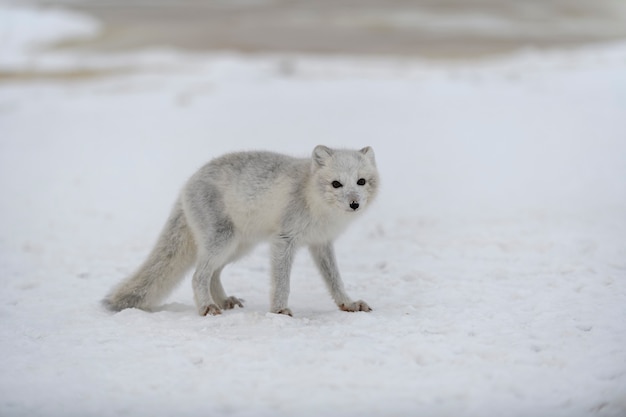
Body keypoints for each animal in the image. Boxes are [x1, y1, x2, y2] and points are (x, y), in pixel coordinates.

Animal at [103, 145, 378, 316]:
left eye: (361, 182)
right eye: (336, 184)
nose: (354, 204)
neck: (314, 200)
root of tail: (187, 184)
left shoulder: (321, 243)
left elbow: (335, 281)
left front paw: (348, 304)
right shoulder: (284, 240)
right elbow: (282, 283)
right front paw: (279, 311)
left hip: (238, 247)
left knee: (213, 274)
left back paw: (224, 301)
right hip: (223, 241)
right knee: (198, 275)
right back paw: (207, 307)